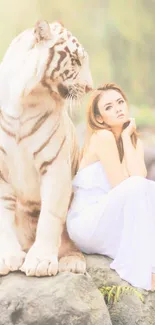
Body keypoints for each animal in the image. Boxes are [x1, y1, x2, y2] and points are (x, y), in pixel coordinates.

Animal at [0, 20, 92, 274]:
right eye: (75, 60)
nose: (90, 88)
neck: (24, 101)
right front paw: (7, 257)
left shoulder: (55, 166)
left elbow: (50, 215)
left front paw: (40, 261)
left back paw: (72, 262)